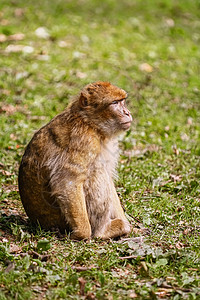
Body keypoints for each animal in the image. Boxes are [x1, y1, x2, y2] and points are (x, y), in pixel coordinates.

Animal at [18, 81, 133, 240]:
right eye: (115, 103)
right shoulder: (84, 141)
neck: (91, 124)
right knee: (96, 172)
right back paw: (102, 231)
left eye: (122, 101)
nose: (127, 112)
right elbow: (68, 181)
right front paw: (81, 233)